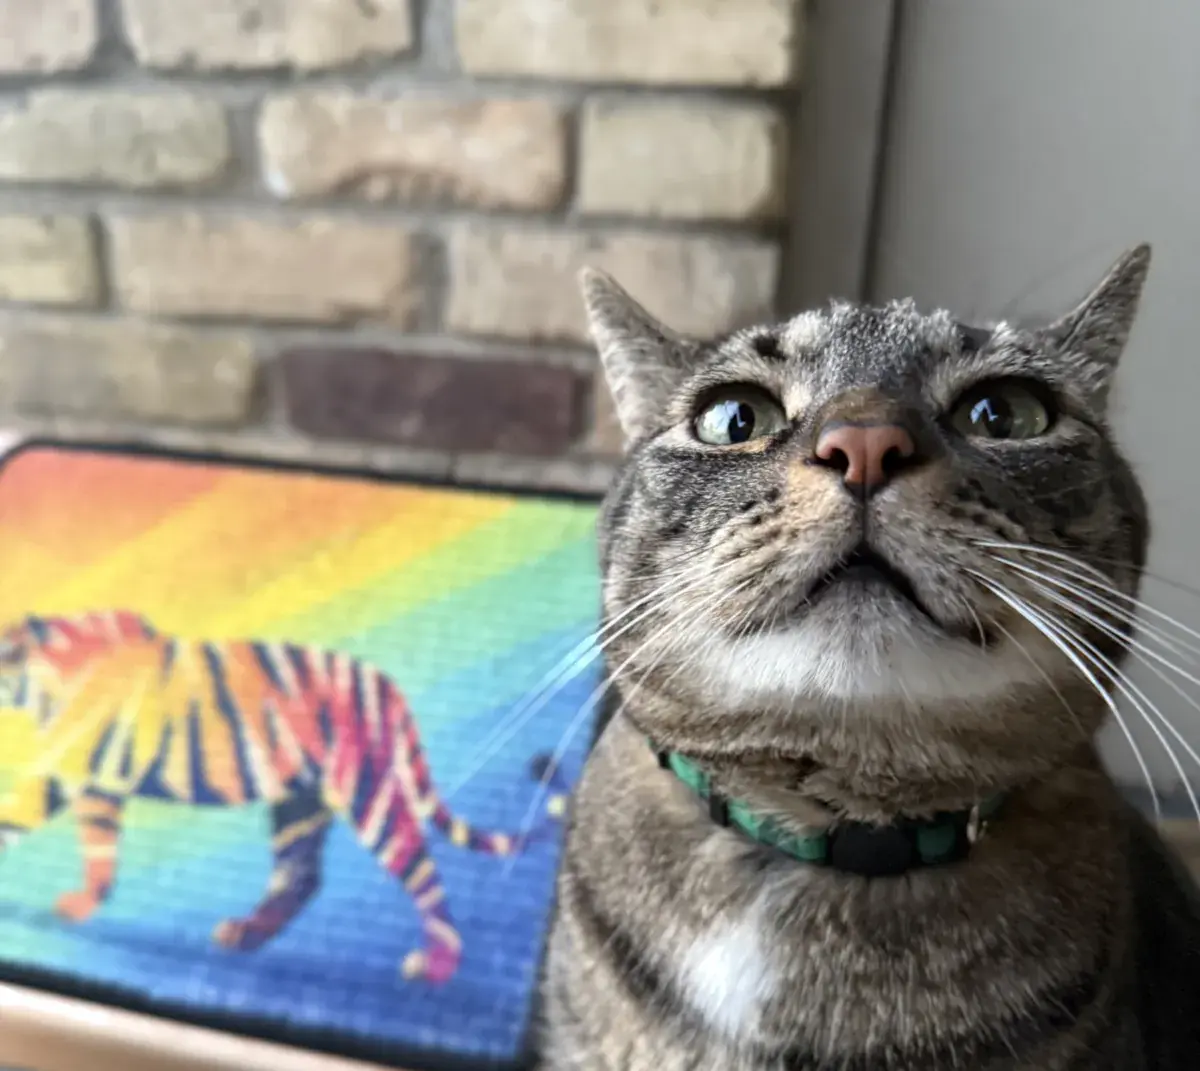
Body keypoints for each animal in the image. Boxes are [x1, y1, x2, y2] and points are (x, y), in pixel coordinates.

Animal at [0, 610, 567, 984]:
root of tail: (386, 684)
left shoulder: (74, 773)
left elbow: (39, 825)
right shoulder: (84, 779)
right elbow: (66, 836)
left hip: (366, 791)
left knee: (419, 868)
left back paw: (436, 967)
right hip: (300, 802)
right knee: (300, 875)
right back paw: (246, 934)